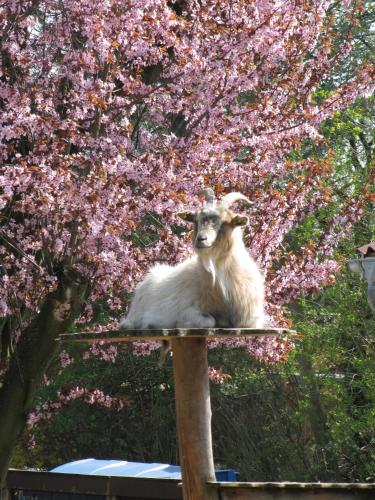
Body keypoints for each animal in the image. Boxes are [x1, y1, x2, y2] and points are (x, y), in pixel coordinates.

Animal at [120, 189, 264, 334]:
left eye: (225, 221)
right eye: (196, 220)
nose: (201, 239)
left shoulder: (251, 320)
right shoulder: (187, 310)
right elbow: (209, 321)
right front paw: (179, 323)